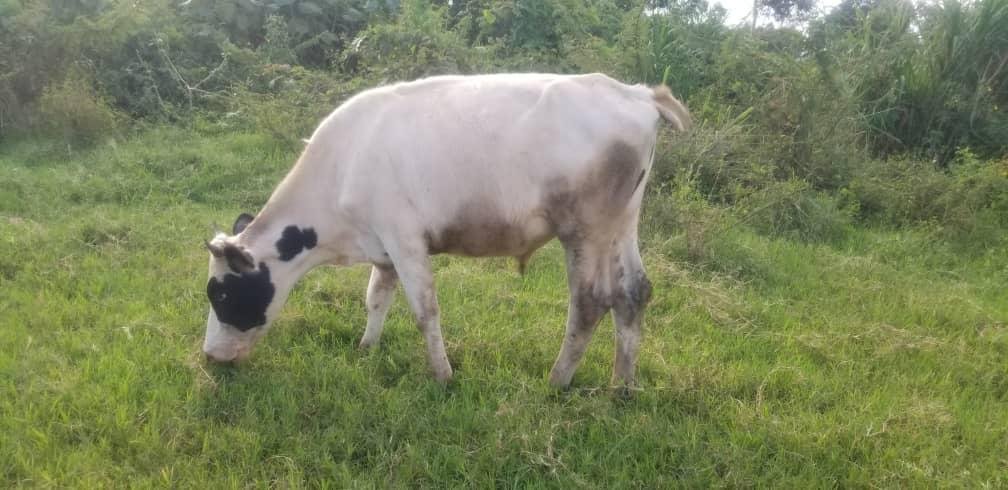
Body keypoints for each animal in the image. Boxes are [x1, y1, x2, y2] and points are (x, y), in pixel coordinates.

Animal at [202, 73, 691, 388]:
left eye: (221, 295)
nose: (209, 356)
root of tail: (635, 93)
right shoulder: (384, 247)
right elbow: (376, 297)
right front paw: (366, 347)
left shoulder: (405, 239)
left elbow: (425, 310)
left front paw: (442, 375)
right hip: (623, 223)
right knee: (633, 292)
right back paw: (622, 386)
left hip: (584, 230)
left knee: (590, 302)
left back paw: (558, 380)